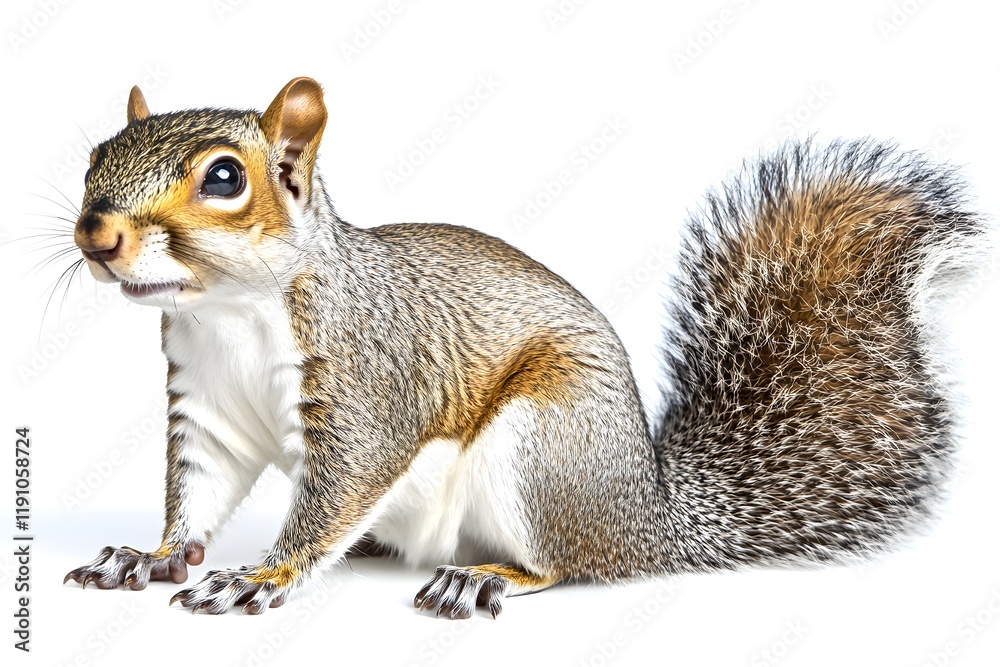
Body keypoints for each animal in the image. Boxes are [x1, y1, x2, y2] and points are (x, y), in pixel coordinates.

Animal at [63, 77, 987, 618]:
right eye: (93, 158)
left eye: (224, 177)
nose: (97, 233)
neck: (228, 311)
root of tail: (649, 518)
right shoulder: (206, 407)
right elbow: (201, 490)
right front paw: (152, 556)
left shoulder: (367, 380)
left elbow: (339, 485)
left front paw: (262, 575)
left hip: (543, 447)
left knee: (566, 564)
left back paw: (487, 576)